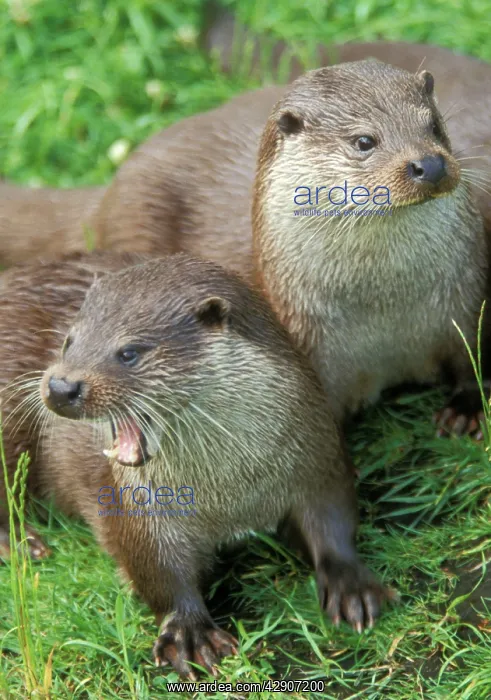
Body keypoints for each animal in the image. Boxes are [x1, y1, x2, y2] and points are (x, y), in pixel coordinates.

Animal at [0, 252, 390, 677]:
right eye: (69, 342)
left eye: (130, 352)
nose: (61, 386)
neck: (231, 493)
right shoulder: (137, 507)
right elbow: (157, 571)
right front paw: (189, 632)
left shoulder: (317, 454)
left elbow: (333, 519)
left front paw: (350, 585)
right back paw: (22, 542)